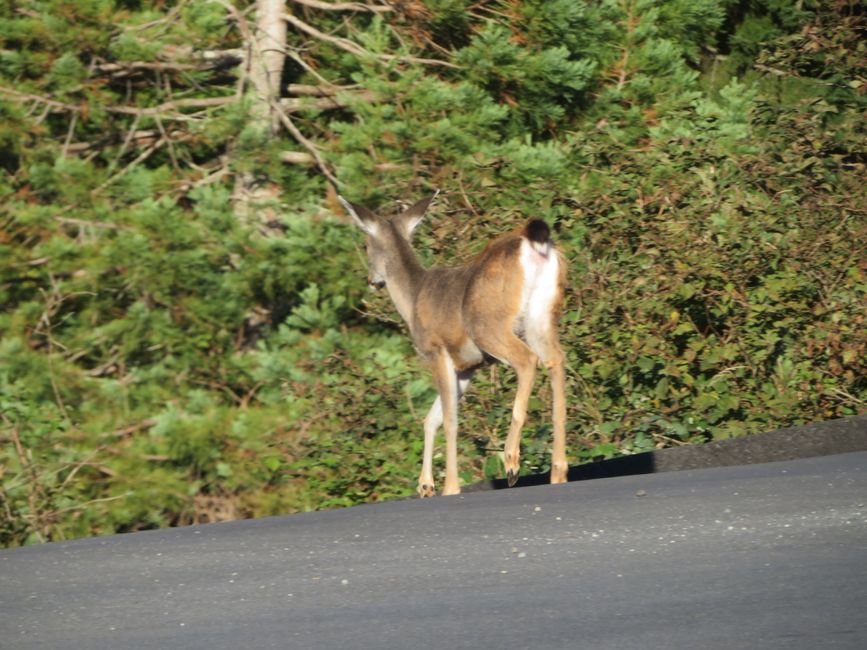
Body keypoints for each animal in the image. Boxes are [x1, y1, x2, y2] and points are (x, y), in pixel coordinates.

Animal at [340, 192, 568, 496]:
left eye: (366, 245)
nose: (371, 281)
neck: (413, 298)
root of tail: (536, 244)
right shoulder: (467, 367)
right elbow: (431, 419)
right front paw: (425, 485)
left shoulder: (437, 349)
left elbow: (449, 420)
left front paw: (449, 486)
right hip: (540, 315)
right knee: (556, 359)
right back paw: (558, 471)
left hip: (487, 323)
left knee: (527, 360)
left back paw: (511, 461)